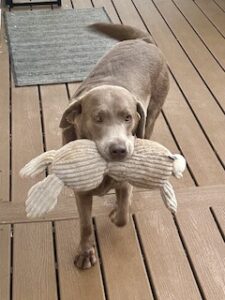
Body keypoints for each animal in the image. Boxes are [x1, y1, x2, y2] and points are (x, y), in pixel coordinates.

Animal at [59, 22, 169, 268]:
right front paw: (85, 252)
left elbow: (122, 216)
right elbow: (85, 224)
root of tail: (143, 41)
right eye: (98, 118)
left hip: (151, 116)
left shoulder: (124, 183)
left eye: (127, 117)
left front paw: (115, 211)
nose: (119, 150)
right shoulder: (81, 190)